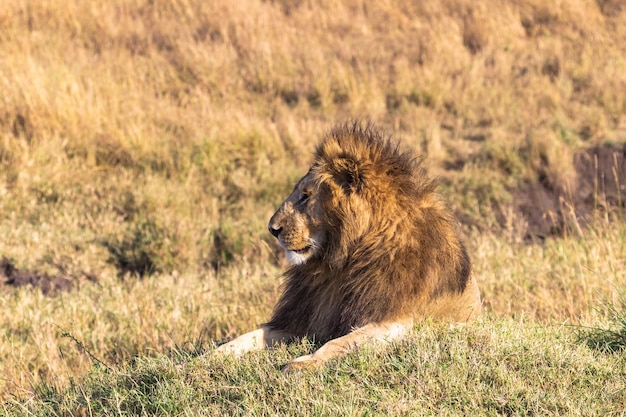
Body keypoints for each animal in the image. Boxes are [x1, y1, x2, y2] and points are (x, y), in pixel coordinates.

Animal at [217, 121, 480, 370]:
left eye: (305, 196)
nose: (272, 229)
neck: (340, 264)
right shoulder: (310, 317)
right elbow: (254, 334)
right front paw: (215, 354)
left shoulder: (396, 321)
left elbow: (340, 343)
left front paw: (303, 364)